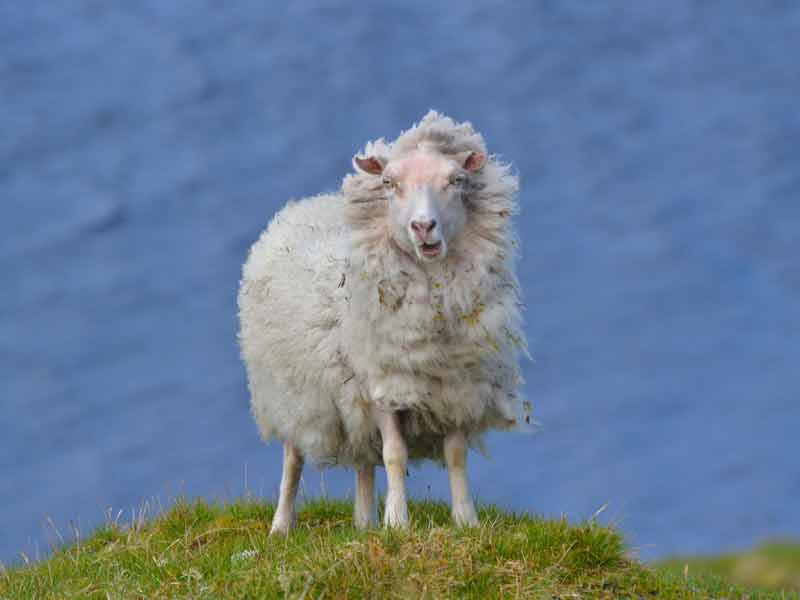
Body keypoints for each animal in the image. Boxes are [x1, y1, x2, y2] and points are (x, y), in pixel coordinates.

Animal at [238, 110, 524, 532]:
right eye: (389, 182)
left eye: (456, 180)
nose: (423, 227)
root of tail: (301, 205)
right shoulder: (383, 386)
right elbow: (395, 453)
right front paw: (398, 522)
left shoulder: (457, 387)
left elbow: (455, 455)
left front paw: (465, 519)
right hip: (293, 394)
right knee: (293, 459)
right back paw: (281, 526)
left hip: (350, 405)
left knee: (363, 462)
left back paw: (364, 521)